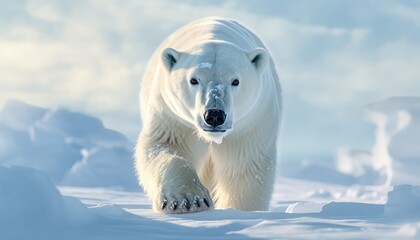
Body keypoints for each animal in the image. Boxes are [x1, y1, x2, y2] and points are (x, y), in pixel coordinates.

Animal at [136, 17, 280, 214]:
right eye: (193, 80)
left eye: (235, 81)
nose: (214, 116)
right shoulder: (173, 116)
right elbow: (164, 146)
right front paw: (187, 200)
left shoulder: (250, 124)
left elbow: (244, 168)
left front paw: (241, 210)